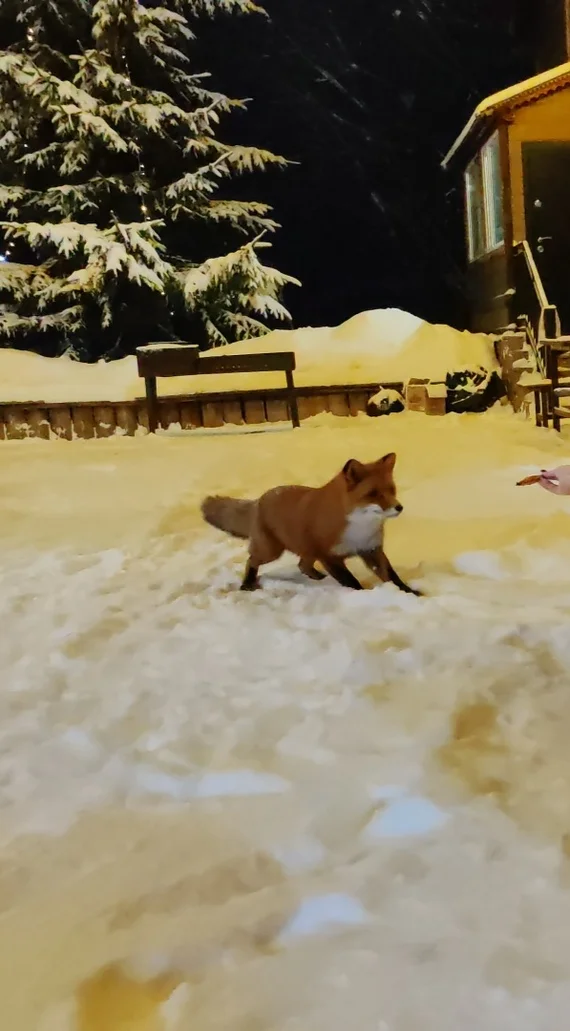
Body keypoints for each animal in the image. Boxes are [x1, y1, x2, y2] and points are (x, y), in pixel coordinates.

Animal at [201, 452, 420, 594]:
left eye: (391, 490)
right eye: (373, 494)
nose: (399, 507)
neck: (359, 528)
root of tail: (259, 499)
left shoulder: (371, 549)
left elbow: (392, 577)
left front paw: (411, 594)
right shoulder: (329, 556)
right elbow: (351, 582)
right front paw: (363, 595)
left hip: (306, 550)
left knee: (302, 565)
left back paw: (318, 578)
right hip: (272, 551)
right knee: (251, 561)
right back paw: (247, 584)